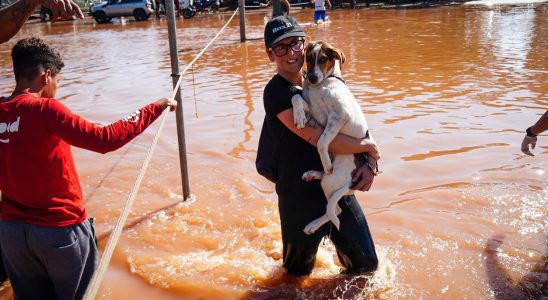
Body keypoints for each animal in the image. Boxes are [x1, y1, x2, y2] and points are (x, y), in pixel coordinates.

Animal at [292, 41, 372, 236]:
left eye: (323, 59)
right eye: (309, 58)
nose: (311, 77)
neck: (323, 84)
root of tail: (351, 184)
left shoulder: (340, 115)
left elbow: (321, 142)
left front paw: (326, 163)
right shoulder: (311, 108)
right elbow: (295, 96)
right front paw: (298, 116)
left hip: (332, 180)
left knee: (335, 210)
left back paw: (313, 224)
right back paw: (313, 173)